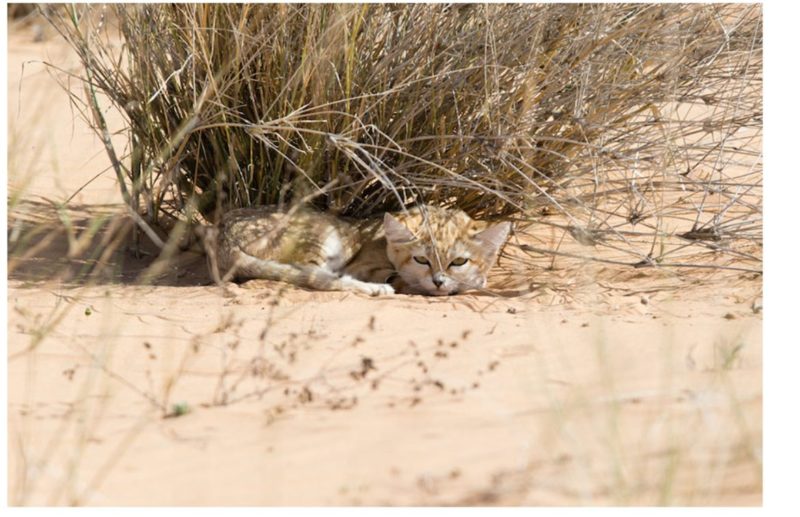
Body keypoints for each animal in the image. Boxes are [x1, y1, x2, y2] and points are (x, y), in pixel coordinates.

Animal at [203, 205, 510, 296]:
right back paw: (374, 289)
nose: (438, 282)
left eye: (458, 261)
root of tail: (222, 236)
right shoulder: (364, 266)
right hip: (325, 237)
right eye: (421, 259)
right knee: (318, 278)